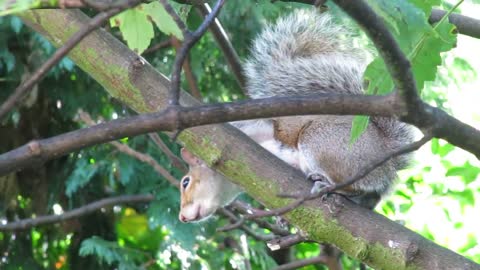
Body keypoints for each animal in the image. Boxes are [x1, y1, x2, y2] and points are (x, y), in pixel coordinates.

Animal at [178, 8, 410, 224]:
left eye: (185, 182)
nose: (181, 216)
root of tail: (388, 157)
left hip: (322, 141)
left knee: (354, 185)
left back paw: (329, 185)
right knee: (371, 197)